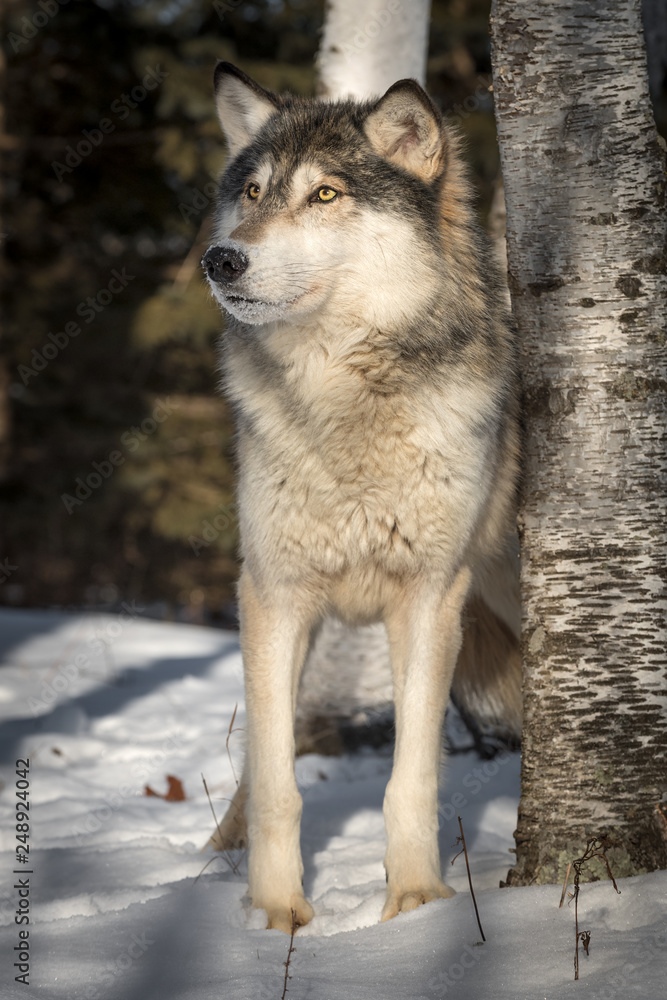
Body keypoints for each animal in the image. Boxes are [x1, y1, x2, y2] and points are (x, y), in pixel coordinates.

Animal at [202, 62, 521, 933]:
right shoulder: (273, 592)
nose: (220, 260)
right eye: (252, 192)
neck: (344, 399)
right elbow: (277, 781)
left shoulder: (429, 598)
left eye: (324, 195)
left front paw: (413, 904)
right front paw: (273, 914)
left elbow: (409, 777)